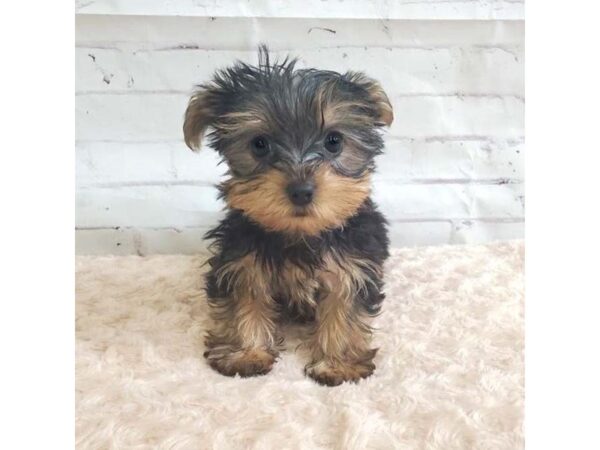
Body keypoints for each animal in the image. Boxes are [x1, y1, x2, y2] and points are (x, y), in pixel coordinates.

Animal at [183, 46, 394, 386]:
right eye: (259, 144)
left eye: (334, 141)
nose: (301, 190)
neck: (299, 234)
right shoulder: (242, 261)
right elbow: (245, 297)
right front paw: (247, 353)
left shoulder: (353, 264)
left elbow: (344, 306)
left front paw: (337, 364)